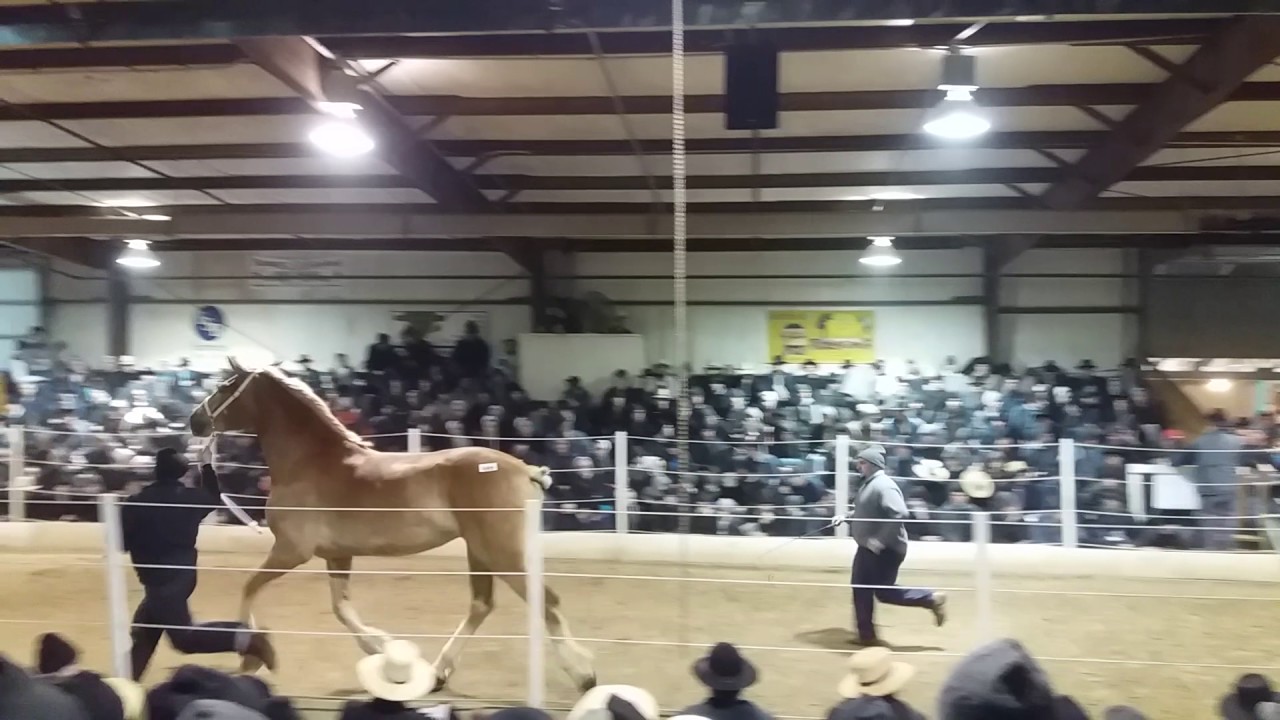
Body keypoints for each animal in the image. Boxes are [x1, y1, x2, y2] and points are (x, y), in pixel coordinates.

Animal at [188, 358, 597, 692]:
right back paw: (437, 674)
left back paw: (584, 675)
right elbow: (342, 609)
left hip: (501, 553)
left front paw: (250, 658)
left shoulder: (291, 551)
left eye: (224, 386)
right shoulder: (336, 555)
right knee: (482, 604)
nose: (195, 420)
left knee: (546, 601)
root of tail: (527, 470)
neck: (310, 462)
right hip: (479, 551)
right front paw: (383, 648)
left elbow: (248, 588)